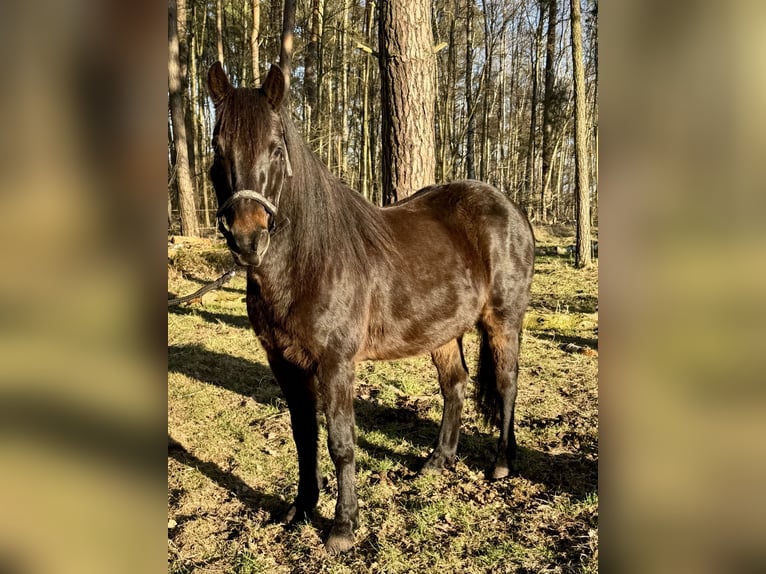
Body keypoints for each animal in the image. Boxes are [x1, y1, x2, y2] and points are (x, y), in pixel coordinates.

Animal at [207, 61, 535, 553]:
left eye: (276, 148)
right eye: (216, 147)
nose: (248, 239)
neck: (311, 261)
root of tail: (510, 207)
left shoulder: (336, 363)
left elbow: (340, 443)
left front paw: (342, 528)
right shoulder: (285, 364)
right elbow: (304, 437)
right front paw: (300, 510)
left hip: (503, 321)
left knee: (507, 384)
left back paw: (501, 464)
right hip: (441, 331)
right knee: (455, 385)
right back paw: (438, 461)